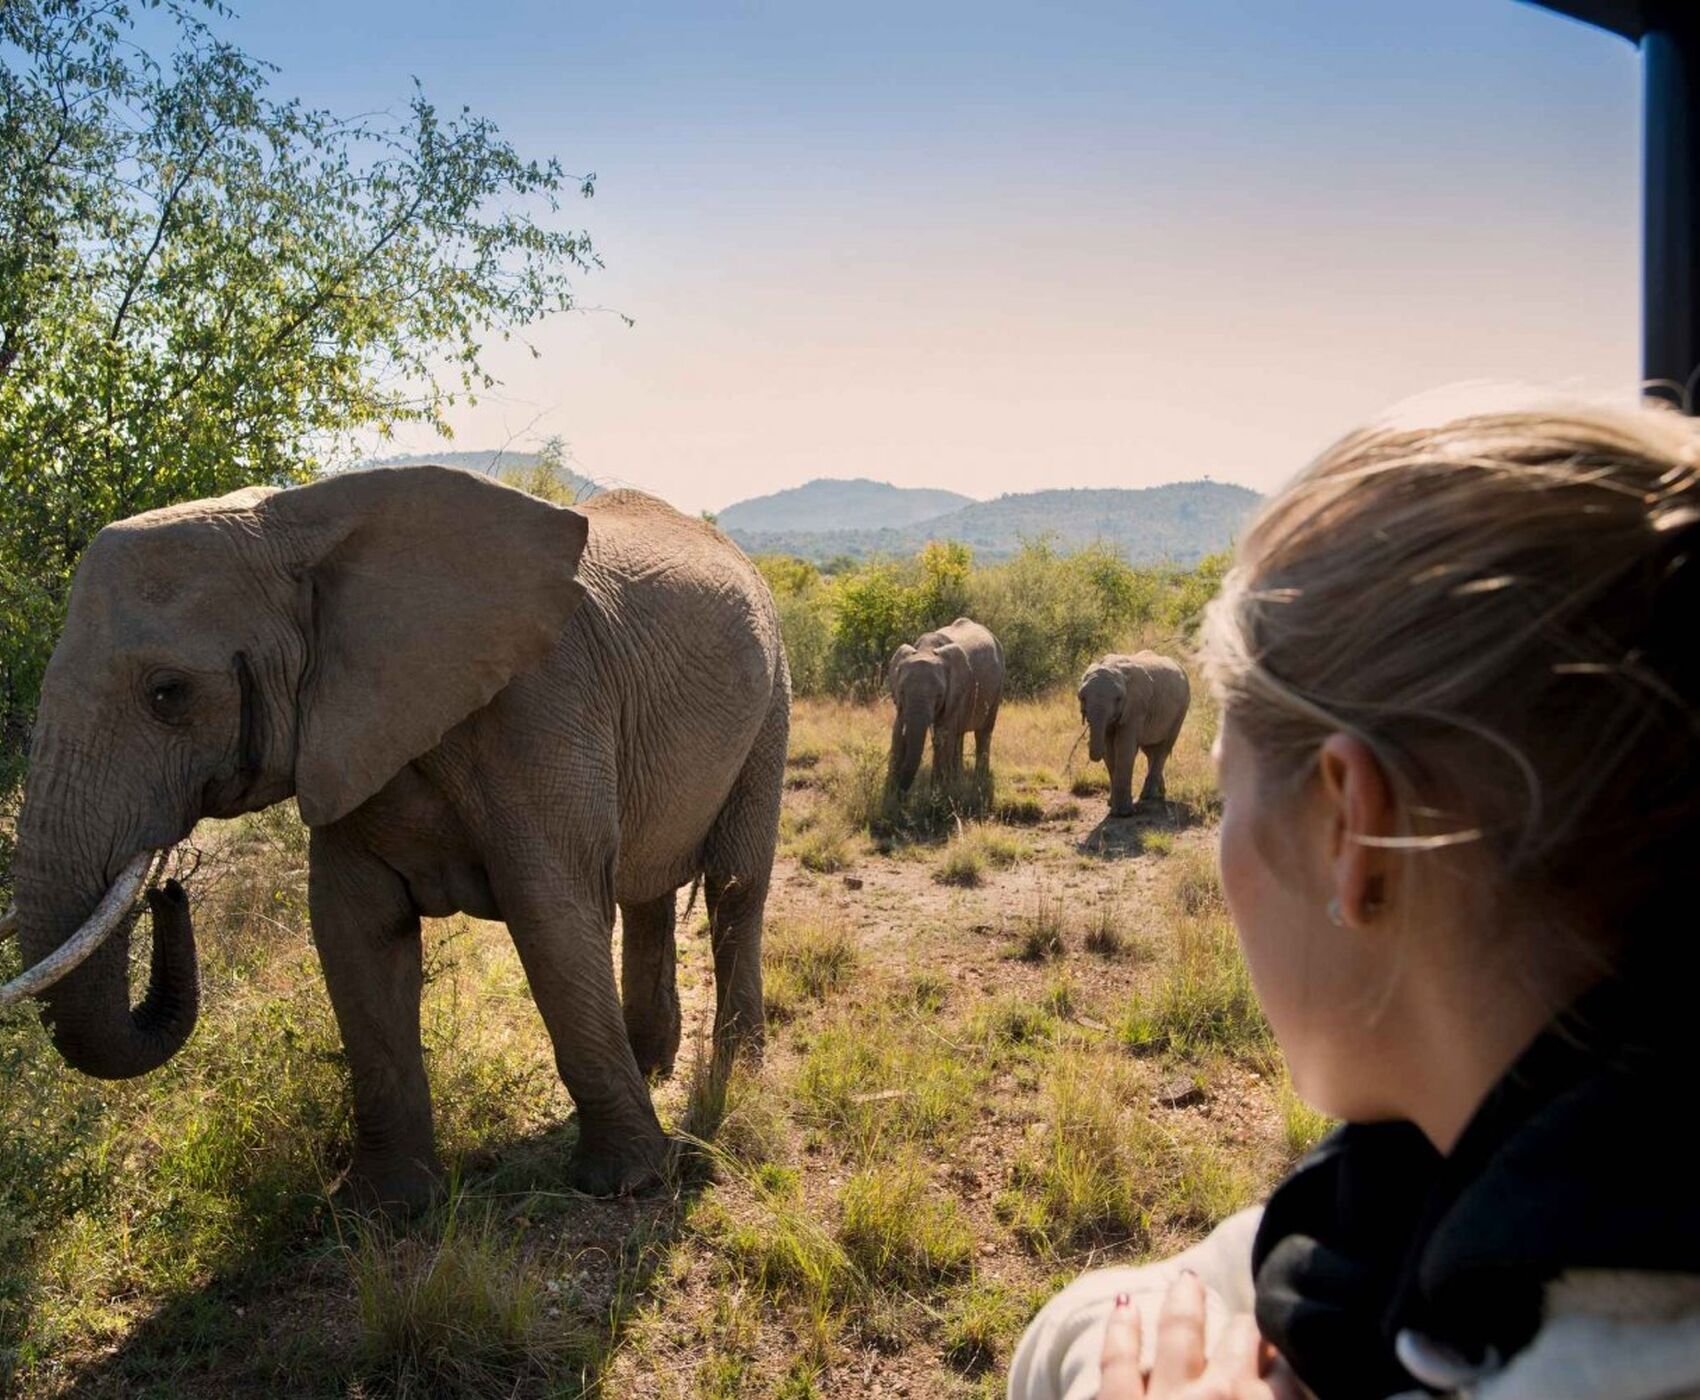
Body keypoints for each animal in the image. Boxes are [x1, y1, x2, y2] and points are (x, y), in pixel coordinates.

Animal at [3, 468, 788, 1202]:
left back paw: (742, 1074)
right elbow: (355, 934)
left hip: (772, 693)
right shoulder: (346, 732)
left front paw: (623, 1183)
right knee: (645, 889)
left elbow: (552, 916)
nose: (170, 889)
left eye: (168, 693)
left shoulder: (545, 703)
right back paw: (653, 1064)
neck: (302, 522)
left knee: (735, 885)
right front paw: (388, 1207)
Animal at [884, 618, 999, 791]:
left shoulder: (955, 692)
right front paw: (891, 795)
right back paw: (957, 779)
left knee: (983, 732)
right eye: (902, 692)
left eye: (939, 696)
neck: (926, 649)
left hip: (998, 686)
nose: (902, 790)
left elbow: (943, 736)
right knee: (958, 735)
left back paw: (979, 781)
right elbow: (898, 732)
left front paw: (937, 794)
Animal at [1081, 649, 1190, 815]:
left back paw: (1148, 796)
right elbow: (1109, 750)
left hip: (1181, 709)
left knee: (1163, 748)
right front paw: (1112, 805)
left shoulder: (1135, 707)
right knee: (1150, 750)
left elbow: (1124, 747)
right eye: (1081, 697)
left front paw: (1123, 814)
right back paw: (1158, 793)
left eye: (1118, 699)